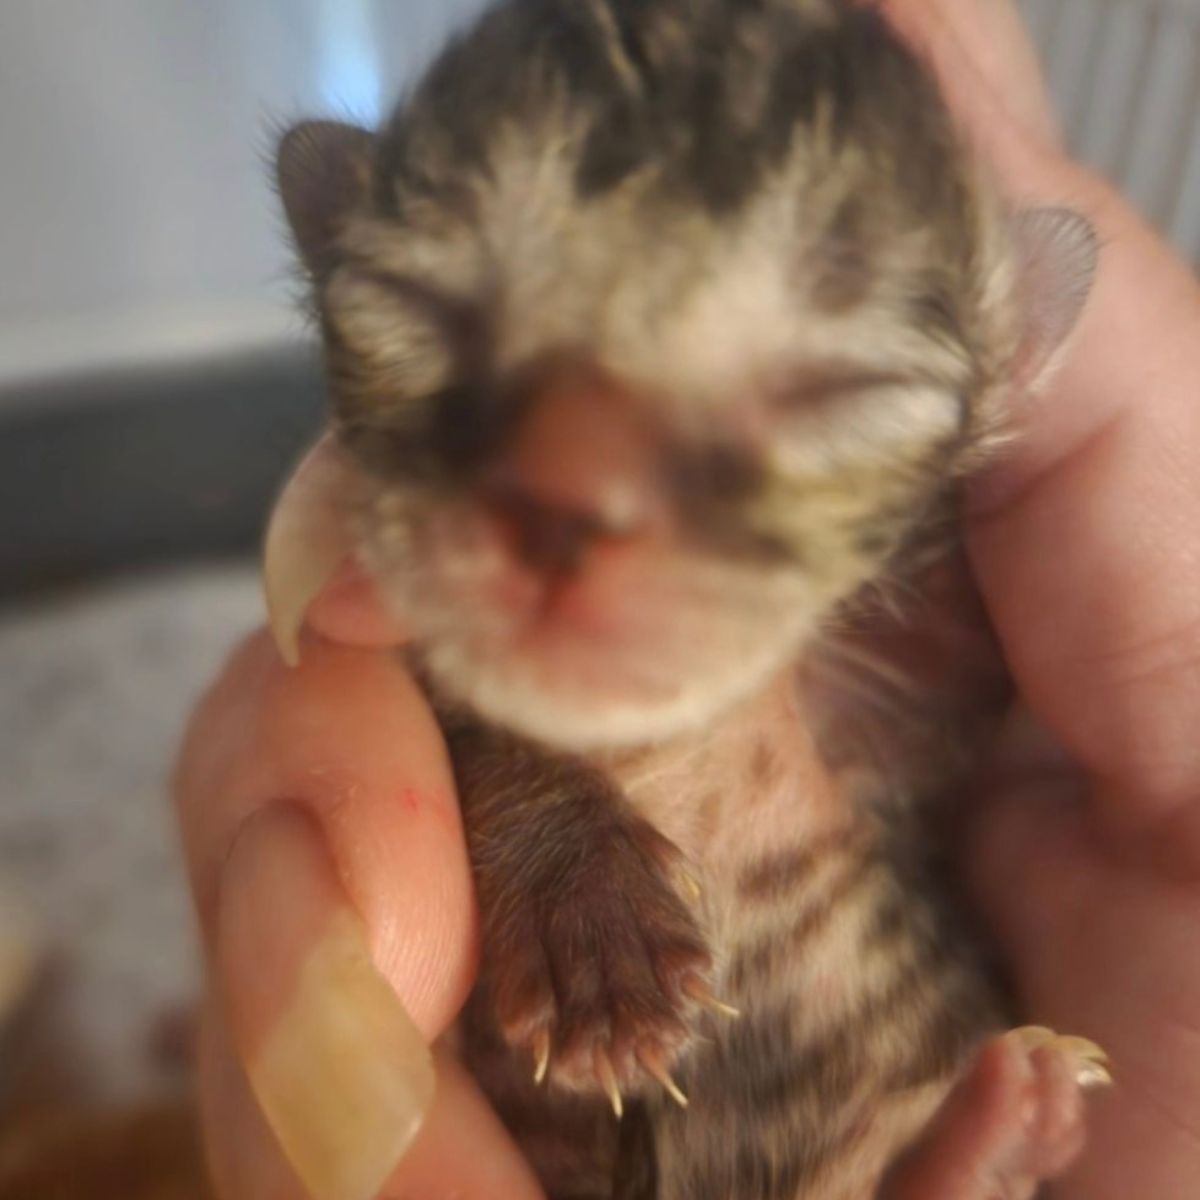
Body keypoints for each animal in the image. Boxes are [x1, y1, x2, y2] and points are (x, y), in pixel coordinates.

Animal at [267, 4, 1099, 1195]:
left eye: (847, 391)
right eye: (416, 306)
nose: (571, 490)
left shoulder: (917, 716)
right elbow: (480, 728)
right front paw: (591, 929)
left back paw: (1005, 1125)